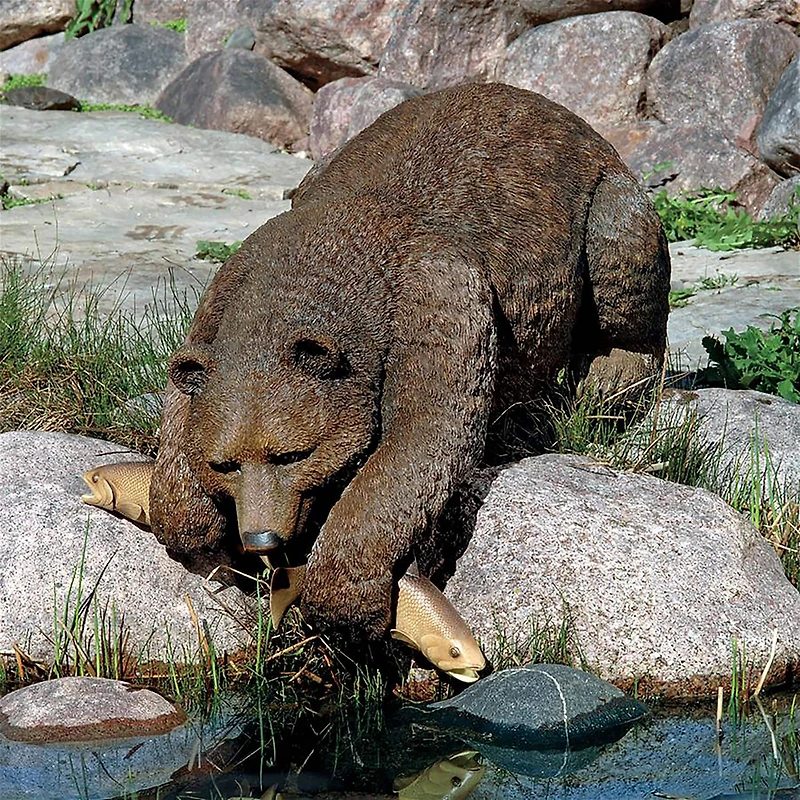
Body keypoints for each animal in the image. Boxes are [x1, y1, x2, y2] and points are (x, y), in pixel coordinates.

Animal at [149, 82, 671, 643]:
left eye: (292, 454)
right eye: (225, 463)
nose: (263, 539)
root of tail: (581, 123)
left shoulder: (438, 295)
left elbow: (425, 436)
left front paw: (344, 601)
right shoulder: (227, 289)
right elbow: (182, 404)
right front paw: (201, 534)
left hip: (606, 201)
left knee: (624, 268)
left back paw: (600, 381)